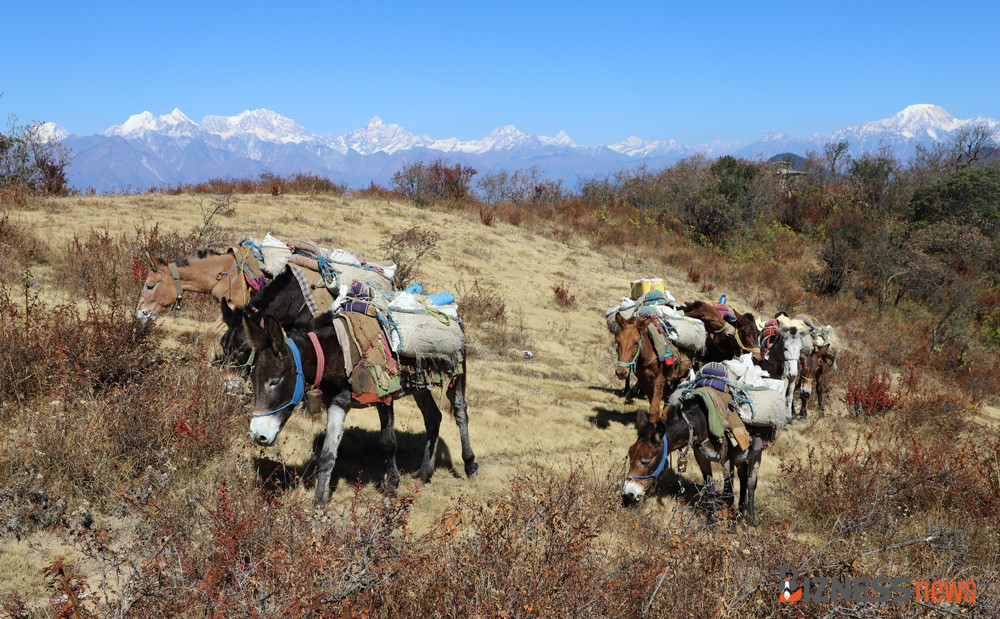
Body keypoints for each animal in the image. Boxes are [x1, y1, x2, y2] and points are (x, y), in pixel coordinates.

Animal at [620, 402, 760, 524]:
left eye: (646, 461)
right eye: (630, 453)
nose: (627, 493)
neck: (703, 422)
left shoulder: (727, 460)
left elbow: (729, 494)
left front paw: (730, 527)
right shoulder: (701, 456)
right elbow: (709, 489)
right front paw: (711, 521)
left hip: (756, 453)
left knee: (751, 482)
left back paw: (750, 517)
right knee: (743, 474)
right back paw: (741, 511)